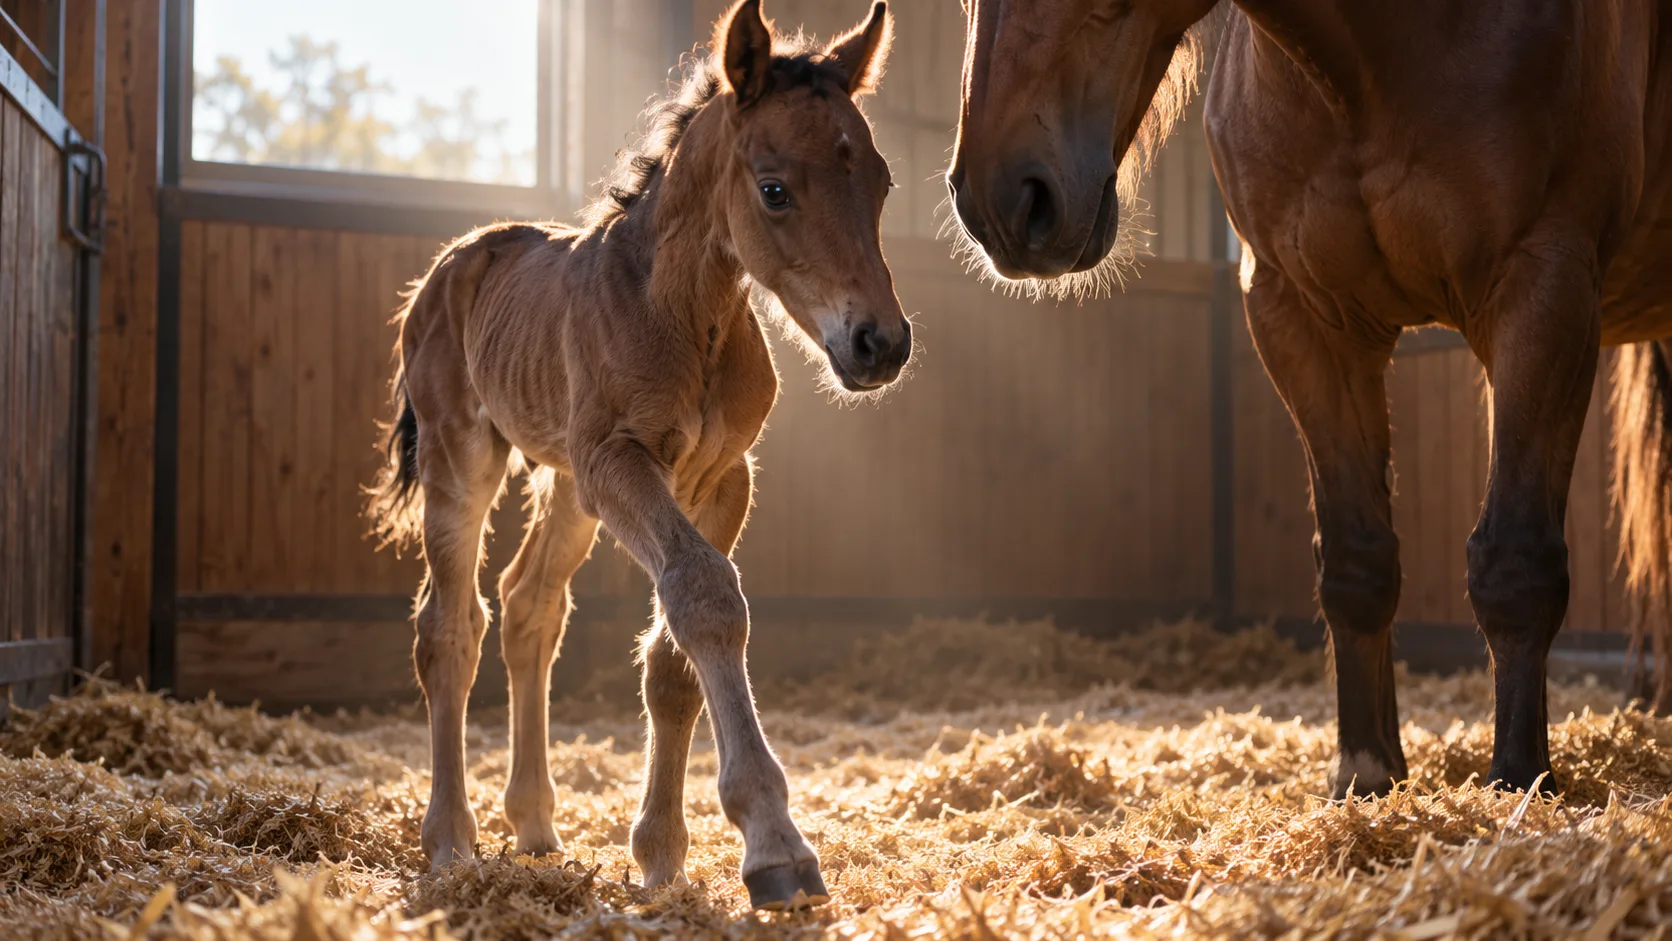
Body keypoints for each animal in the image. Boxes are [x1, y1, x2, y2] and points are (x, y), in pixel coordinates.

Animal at [366, 0, 902, 909]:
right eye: (774, 188)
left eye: (882, 181)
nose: (880, 343)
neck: (684, 312)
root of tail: (454, 261)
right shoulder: (620, 461)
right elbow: (706, 598)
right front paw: (774, 843)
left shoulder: (720, 478)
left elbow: (675, 648)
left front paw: (659, 852)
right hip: (462, 455)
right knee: (449, 627)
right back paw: (450, 841)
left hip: (569, 484)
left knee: (529, 604)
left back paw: (535, 825)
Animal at [946, 0, 1672, 798]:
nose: (1000, 203)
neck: (1365, 68)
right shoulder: (1303, 315)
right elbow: (1357, 561)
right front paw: (1366, 774)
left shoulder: (1545, 288)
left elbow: (1514, 562)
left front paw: (1518, 783)